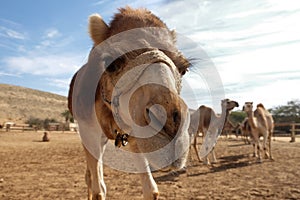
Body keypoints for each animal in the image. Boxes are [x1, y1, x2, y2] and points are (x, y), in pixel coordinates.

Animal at [67, 6, 191, 200]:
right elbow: (99, 190)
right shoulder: (87, 130)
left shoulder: (133, 134)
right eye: (112, 63)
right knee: (91, 176)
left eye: (184, 69)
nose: (171, 126)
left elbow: (151, 190)